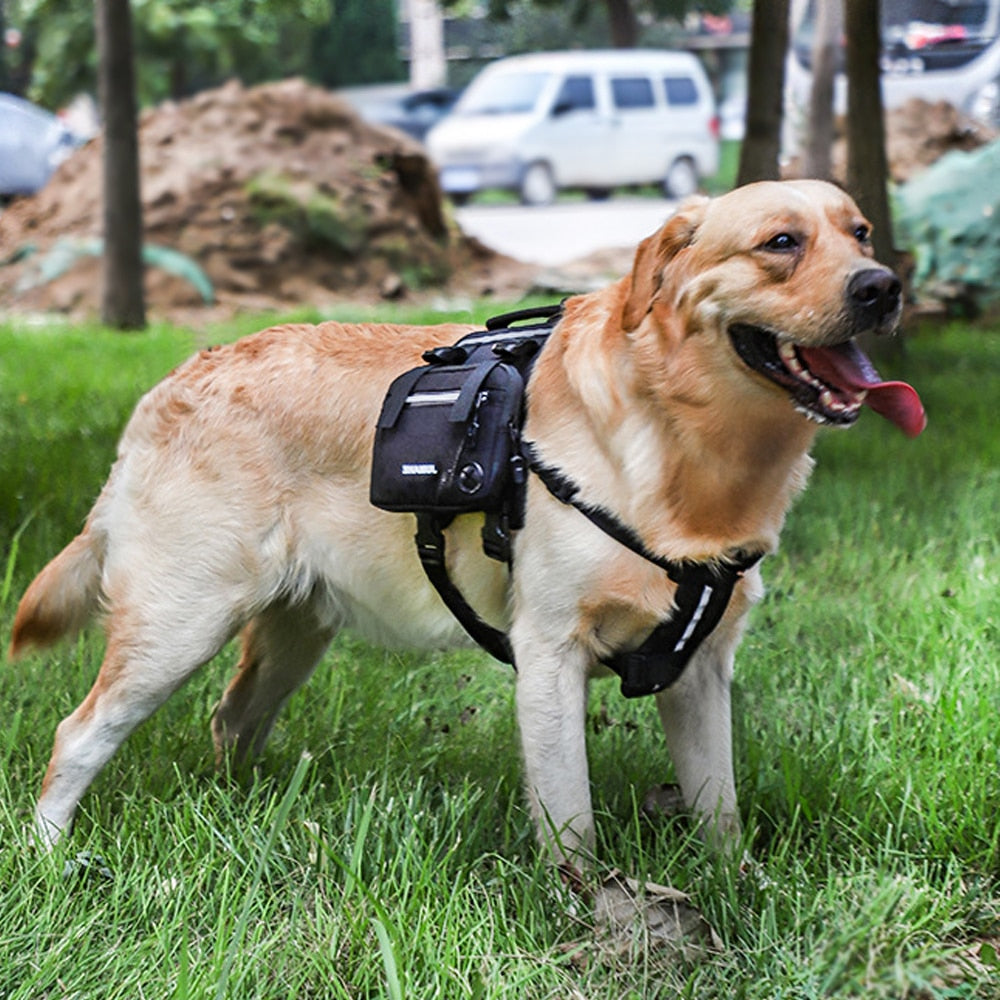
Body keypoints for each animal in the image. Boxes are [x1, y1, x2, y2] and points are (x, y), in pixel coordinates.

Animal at [7, 180, 924, 892]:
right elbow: (571, 822)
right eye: (780, 243)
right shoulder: (550, 660)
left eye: (860, 232)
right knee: (77, 735)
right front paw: (592, 912)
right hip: (179, 623)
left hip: (293, 632)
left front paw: (739, 892)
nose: (883, 287)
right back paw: (50, 859)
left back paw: (245, 817)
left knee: (231, 721)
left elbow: (720, 811)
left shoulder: (698, 670)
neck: (684, 445)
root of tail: (171, 383)